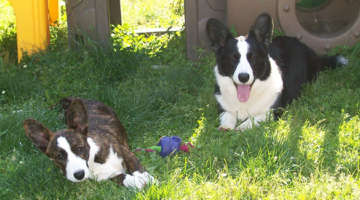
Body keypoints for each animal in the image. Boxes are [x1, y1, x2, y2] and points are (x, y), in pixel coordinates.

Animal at [23, 97, 153, 190]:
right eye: (59, 156)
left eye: (80, 149)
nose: (79, 175)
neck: (92, 160)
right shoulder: (105, 177)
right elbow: (121, 177)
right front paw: (137, 181)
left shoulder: (124, 150)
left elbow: (136, 166)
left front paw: (147, 178)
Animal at [207, 13, 348, 130]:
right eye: (233, 58)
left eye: (253, 57)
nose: (243, 77)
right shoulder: (223, 108)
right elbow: (227, 116)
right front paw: (226, 127)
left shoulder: (273, 111)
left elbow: (254, 118)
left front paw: (241, 128)